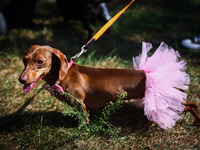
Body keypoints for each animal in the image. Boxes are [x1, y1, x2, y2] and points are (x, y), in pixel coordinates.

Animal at [18, 45, 200, 126]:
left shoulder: (80, 102)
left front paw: (83, 128)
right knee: (192, 105)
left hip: (171, 101)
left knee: (190, 105)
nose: (21, 79)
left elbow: (84, 119)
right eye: (24, 60)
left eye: (40, 61)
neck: (64, 75)